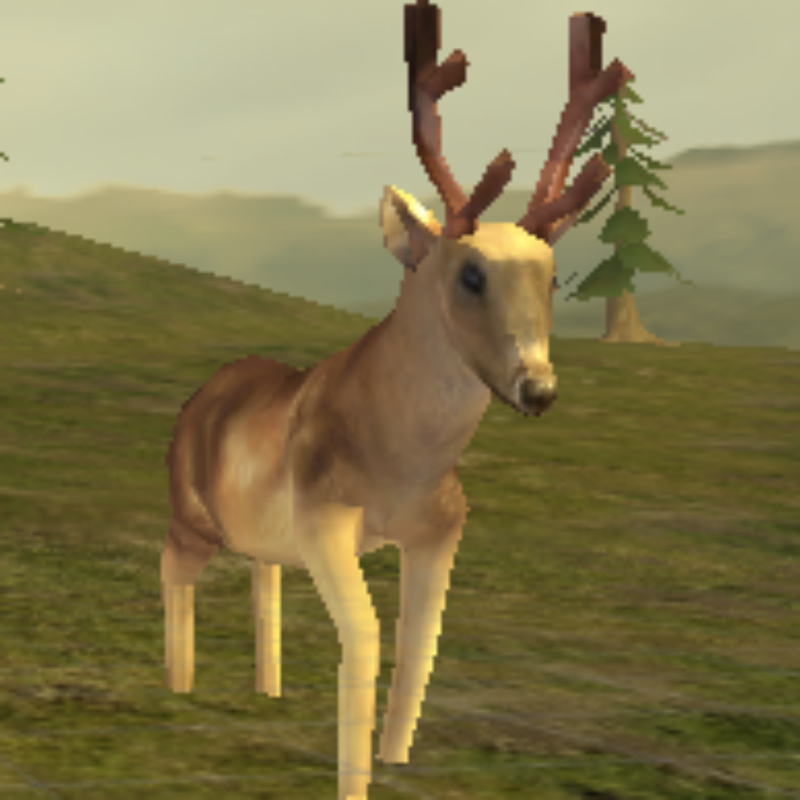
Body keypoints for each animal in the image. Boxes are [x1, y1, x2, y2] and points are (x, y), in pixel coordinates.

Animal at [161, 2, 632, 798]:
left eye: (552, 275)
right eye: (469, 273)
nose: (538, 388)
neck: (401, 467)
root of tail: (200, 395)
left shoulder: (441, 528)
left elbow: (421, 641)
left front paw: (395, 759)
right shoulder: (322, 514)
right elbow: (368, 637)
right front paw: (352, 781)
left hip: (259, 532)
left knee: (263, 573)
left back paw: (268, 688)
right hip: (190, 512)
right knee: (173, 563)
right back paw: (179, 683)